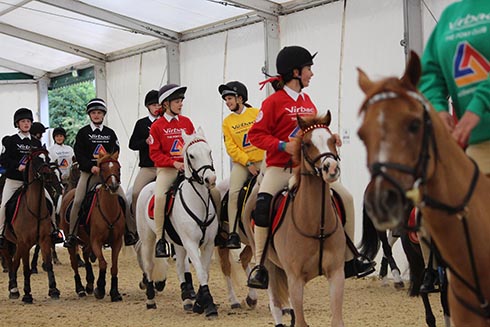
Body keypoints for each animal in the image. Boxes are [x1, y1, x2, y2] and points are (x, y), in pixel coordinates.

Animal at [0, 147, 60, 304]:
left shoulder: (44, 239)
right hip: (8, 241)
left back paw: (13, 288)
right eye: (36, 160)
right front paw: (27, 294)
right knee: (10, 261)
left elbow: (49, 264)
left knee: (14, 262)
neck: (35, 208)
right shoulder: (25, 242)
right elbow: (26, 268)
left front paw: (54, 290)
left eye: (47, 159)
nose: (46, 174)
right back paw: (14, 289)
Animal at [59, 152, 125, 302]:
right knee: (74, 263)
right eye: (103, 169)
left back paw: (89, 284)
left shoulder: (117, 242)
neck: (109, 210)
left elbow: (114, 267)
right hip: (73, 240)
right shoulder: (96, 241)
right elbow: (103, 263)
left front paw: (115, 292)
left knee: (86, 254)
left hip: (87, 240)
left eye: (118, 168)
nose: (114, 186)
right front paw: (100, 289)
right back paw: (80, 289)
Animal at [135, 129, 217, 318]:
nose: (210, 179)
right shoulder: (191, 243)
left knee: (180, 266)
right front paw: (209, 305)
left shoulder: (208, 244)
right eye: (191, 155)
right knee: (149, 265)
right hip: (149, 238)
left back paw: (186, 299)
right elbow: (201, 271)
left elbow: (205, 272)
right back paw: (150, 299)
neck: (199, 202)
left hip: (179, 243)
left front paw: (199, 303)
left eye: (209, 152)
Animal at [244, 113, 346, 327]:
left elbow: (336, 320)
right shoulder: (295, 280)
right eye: (307, 144)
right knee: (275, 304)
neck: (316, 225)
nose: (331, 168)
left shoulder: (336, 274)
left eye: (333, 140)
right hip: (269, 264)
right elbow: (300, 321)